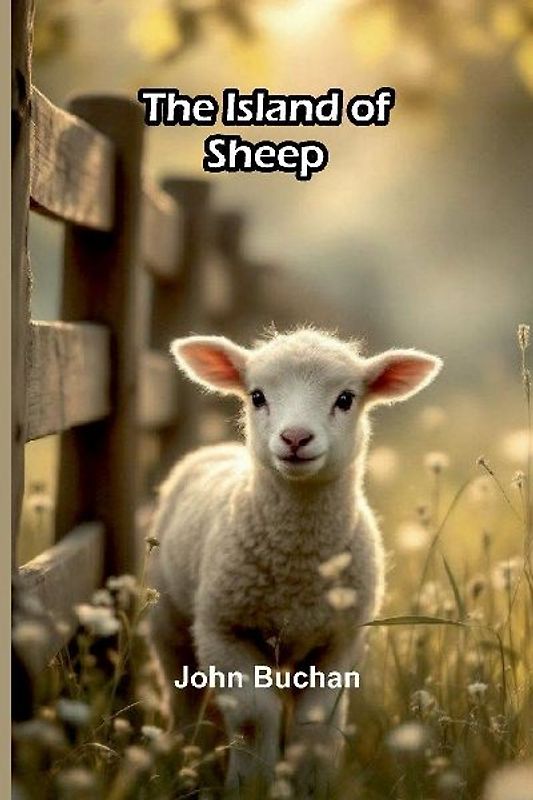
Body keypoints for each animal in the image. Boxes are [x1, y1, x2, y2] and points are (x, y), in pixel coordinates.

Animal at [148, 328, 442, 796]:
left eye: (346, 398)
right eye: (257, 396)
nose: (296, 438)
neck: (297, 568)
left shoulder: (341, 639)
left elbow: (316, 723)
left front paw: (311, 784)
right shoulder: (223, 629)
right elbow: (255, 715)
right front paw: (250, 784)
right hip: (169, 620)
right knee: (182, 696)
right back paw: (184, 754)